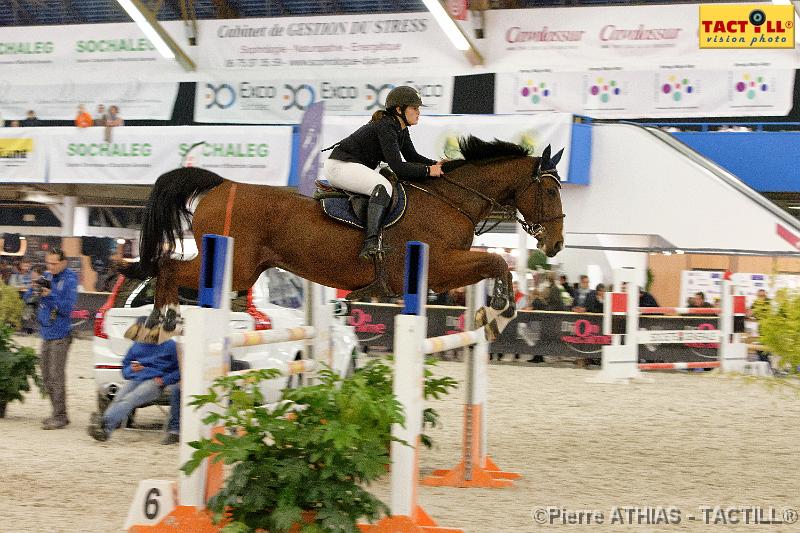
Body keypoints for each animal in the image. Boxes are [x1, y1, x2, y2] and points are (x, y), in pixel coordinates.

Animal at [131, 135, 564, 338]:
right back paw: (157, 324)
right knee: (168, 267)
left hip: (243, 270)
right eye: (549, 190)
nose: (555, 244)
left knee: (166, 268)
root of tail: (222, 184)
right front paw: (497, 314)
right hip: (232, 266)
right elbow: (498, 261)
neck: (450, 200)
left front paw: (494, 314)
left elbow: (496, 263)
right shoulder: (440, 268)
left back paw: (155, 323)